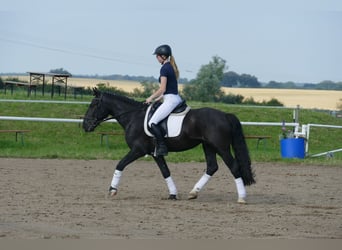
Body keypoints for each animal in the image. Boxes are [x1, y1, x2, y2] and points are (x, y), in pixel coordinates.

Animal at [83, 89, 254, 202]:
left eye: (93, 104)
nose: (85, 126)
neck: (133, 117)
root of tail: (225, 115)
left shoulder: (138, 150)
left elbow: (120, 164)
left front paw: (112, 190)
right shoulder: (155, 153)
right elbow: (165, 171)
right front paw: (173, 194)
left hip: (221, 147)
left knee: (234, 166)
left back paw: (241, 197)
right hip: (208, 146)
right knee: (212, 167)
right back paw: (193, 193)